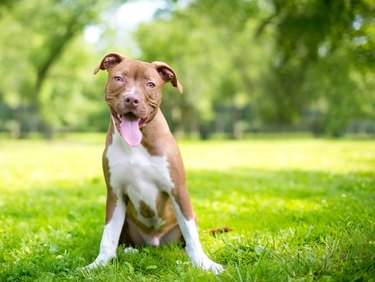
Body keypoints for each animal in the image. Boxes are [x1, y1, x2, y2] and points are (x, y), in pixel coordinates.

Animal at [86, 52, 223, 274]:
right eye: (119, 78)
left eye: (150, 84)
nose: (131, 99)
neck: (138, 143)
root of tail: (155, 243)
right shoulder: (115, 194)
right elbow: (108, 236)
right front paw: (98, 264)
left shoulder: (178, 189)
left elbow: (191, 235)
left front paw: (204, 263)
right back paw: (129, 251)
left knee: (186, 238)